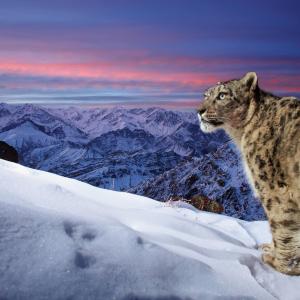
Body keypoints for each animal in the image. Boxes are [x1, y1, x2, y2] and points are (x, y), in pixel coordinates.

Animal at [198, 72, 298, 274]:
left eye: (222, 95)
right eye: (206, 95)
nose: (200, 111)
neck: (241, 135)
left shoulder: (274, 190)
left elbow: (282, 225)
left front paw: (280, 265)